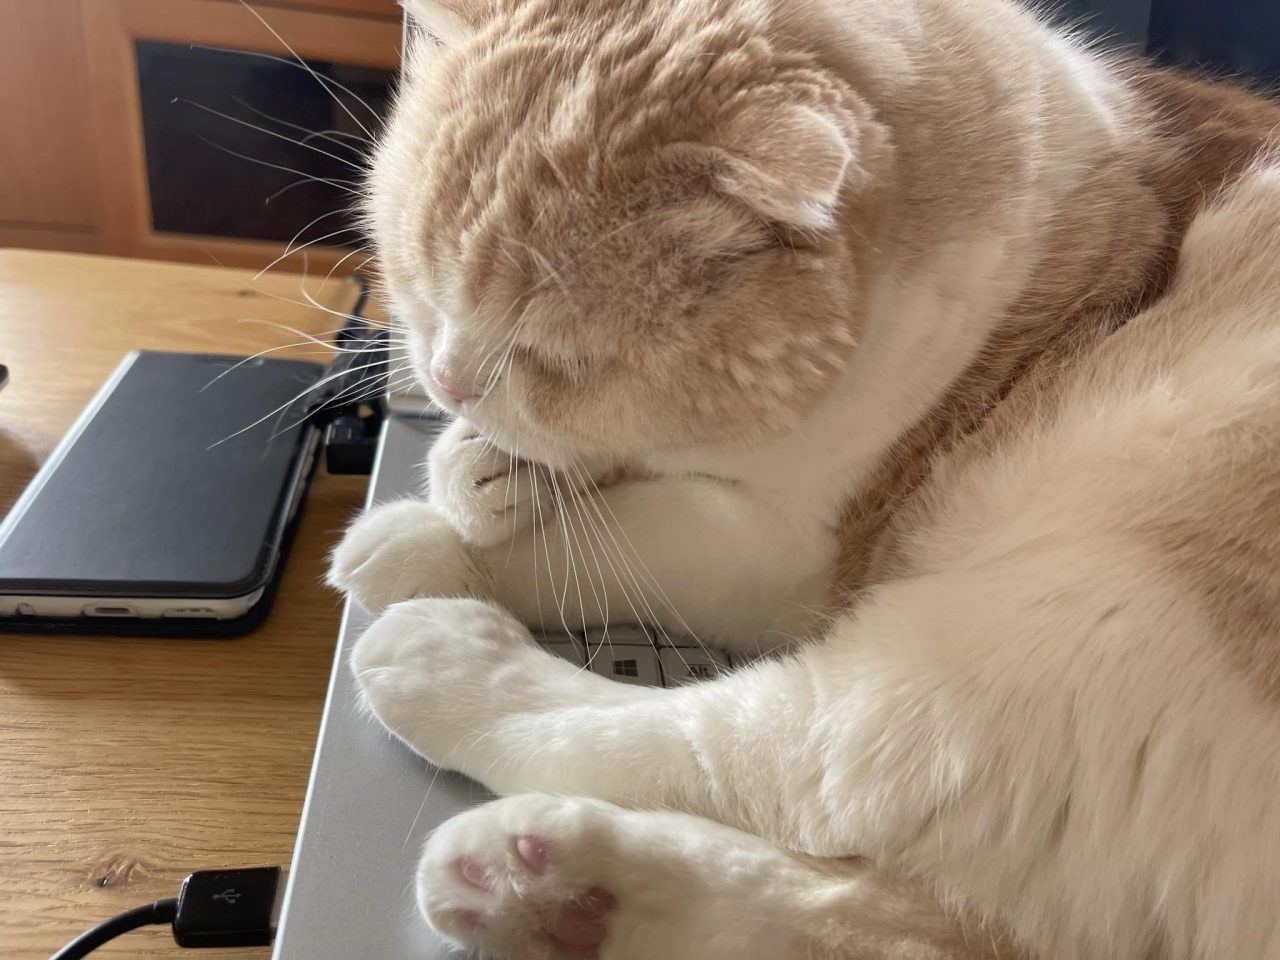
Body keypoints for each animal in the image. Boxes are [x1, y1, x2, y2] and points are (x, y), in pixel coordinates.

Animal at [327, 0, 1280, 956]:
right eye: (420, 281)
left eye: (553, 357)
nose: (448, 379)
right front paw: (481, 469)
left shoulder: (783, 549)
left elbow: (609, 538)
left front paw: (432, 534)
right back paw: (546, 891)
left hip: (1059, 619)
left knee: (781, 757)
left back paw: (445, 670)